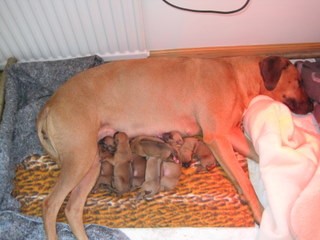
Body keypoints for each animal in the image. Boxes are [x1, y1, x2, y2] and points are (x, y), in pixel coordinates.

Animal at [37, 55, 312, 239]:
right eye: (299, 81)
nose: (312, 105)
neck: (236, 76)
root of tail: (49, 104)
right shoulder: (217, 137)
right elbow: (244, 180)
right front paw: (260, 212)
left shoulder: (230, 134)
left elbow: (254, 156)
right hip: (79, 158)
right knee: (51, 205)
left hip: (91, 161)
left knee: (72, 209)